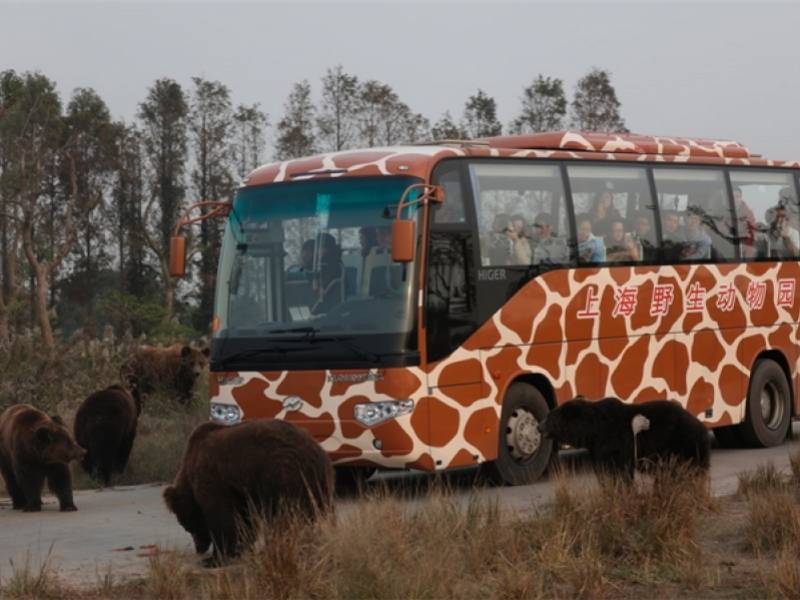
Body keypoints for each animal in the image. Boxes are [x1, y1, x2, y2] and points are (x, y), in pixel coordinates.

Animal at [164, 420, 332, 564]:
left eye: (186, 525)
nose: (199, 548)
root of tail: (319, 453)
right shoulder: (241, 491)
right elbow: (244, 519)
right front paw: (241, 548)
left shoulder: (213, 480)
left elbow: (221, 517)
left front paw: (215, 558)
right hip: (316, 487)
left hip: (284, 474)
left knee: (288, 516)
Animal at [540, 396, 708, 480]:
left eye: (549, 417)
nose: (539, 427)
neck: (593, 431)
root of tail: (700, 423)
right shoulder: (597, 447)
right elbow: (603, 470)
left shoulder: (616, 442)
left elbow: (619, 470)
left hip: (683, 442)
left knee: (693, 468)